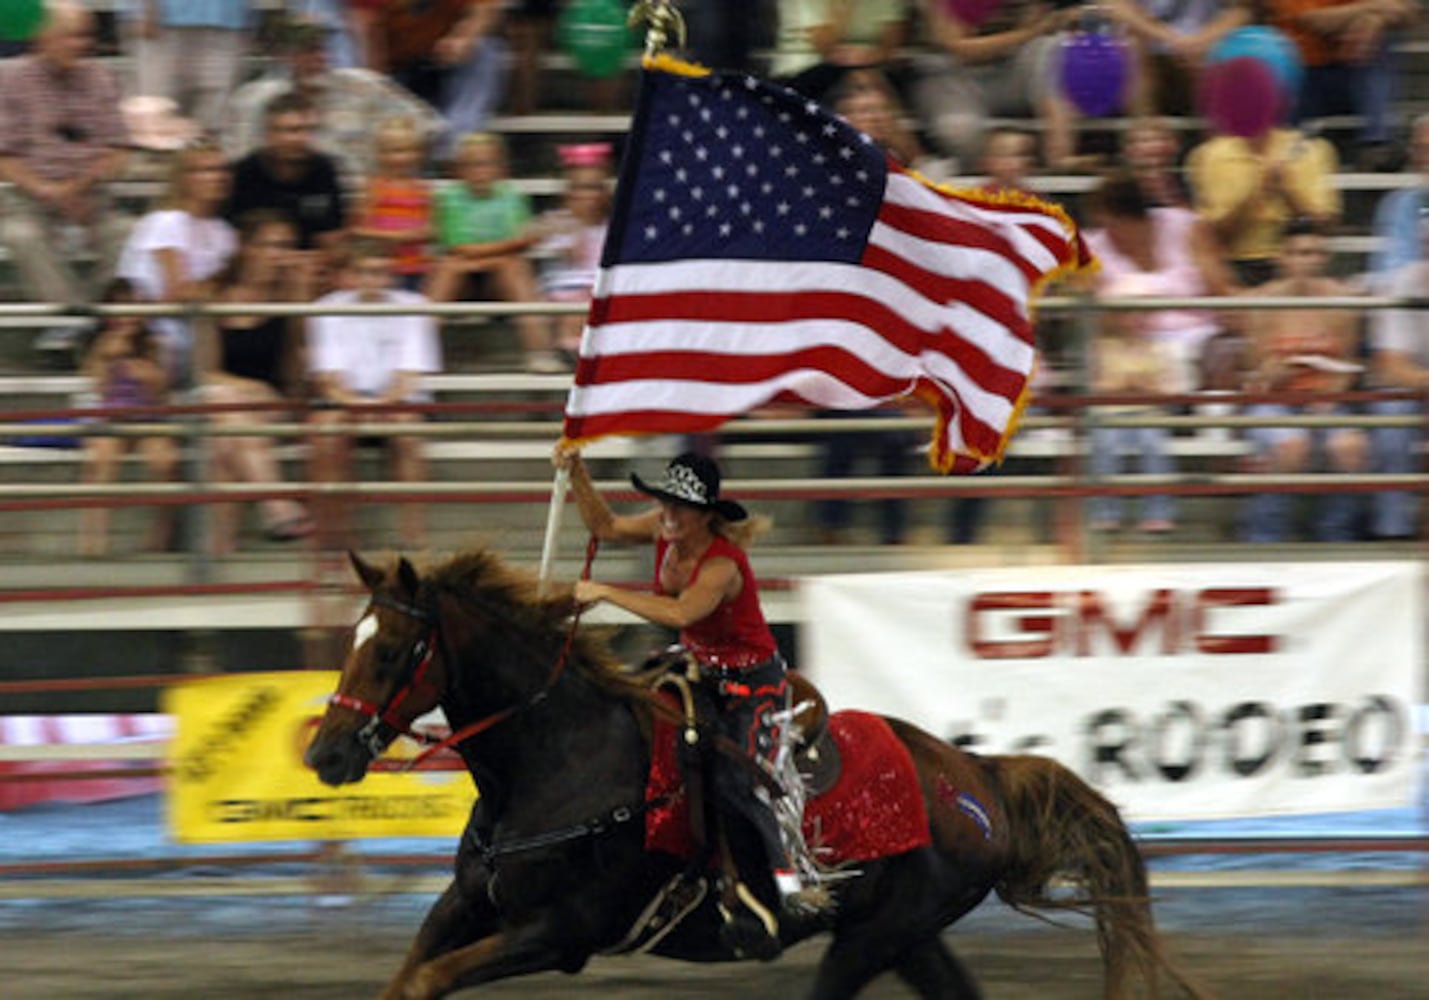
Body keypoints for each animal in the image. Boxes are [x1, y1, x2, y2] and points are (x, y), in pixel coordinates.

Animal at [307, 545, 1211, 1000]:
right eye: (354, 639)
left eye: (392, 650)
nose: (326, 754)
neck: (557, 761)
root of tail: (974, 777)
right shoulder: (464, 905)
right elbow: (409, 979)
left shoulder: (559, 932)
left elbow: (431, 979)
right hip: (906, 936)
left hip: (873, 939)